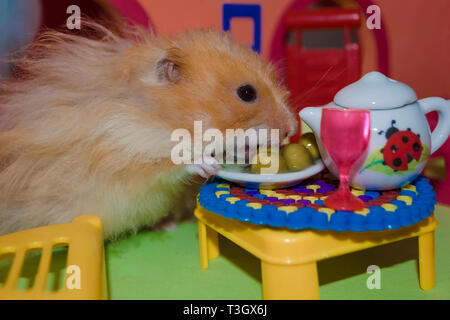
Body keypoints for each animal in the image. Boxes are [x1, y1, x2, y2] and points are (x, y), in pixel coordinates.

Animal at [0, 21, 298, 240]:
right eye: (246, 93)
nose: (290, 129)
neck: (163, 118)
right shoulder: (124, 153)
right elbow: (168, 164)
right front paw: (207, 164)